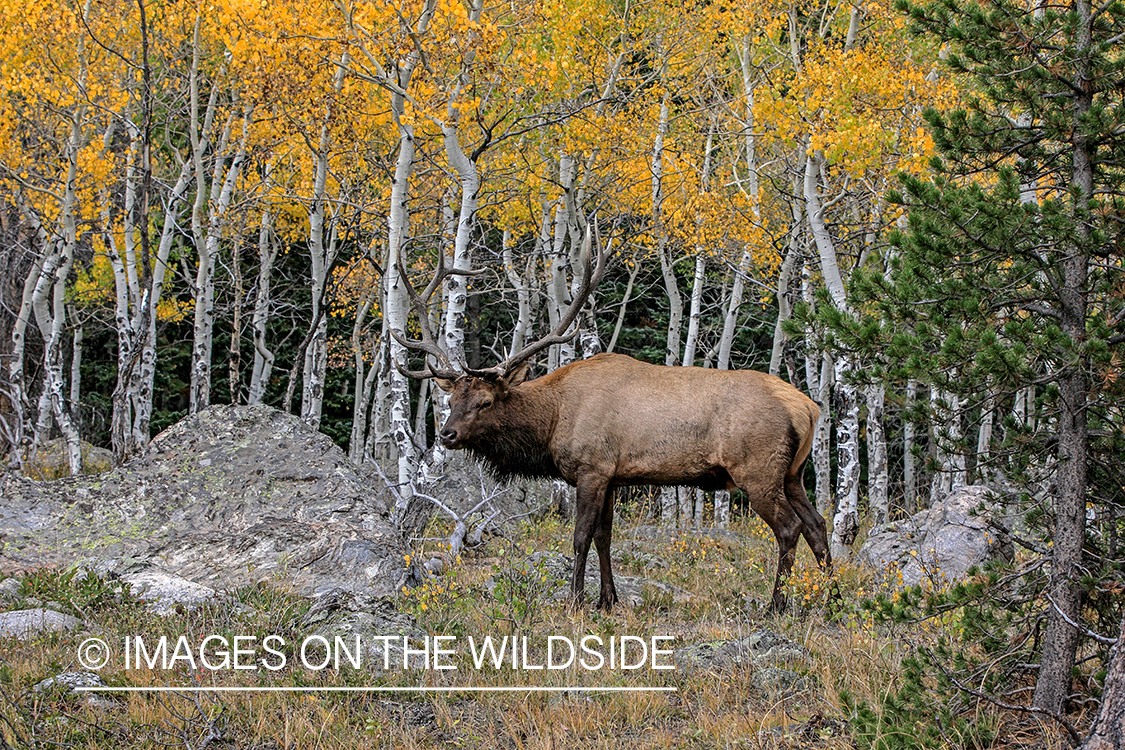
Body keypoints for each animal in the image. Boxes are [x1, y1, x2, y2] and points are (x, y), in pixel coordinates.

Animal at [392, 227, 832, 611]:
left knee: (789, 528)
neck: (553, 422)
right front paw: (607, 599)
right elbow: (605, 536)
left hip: (757, 470)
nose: (447, 435)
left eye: (484, 401)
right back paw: (831, 600)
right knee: (817, 523)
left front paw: (574, 601)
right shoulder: (614, 475)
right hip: (791, 473)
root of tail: (808, 408)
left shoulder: (592, 468)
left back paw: (776, 605)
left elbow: (580, 537)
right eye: (452, 398)